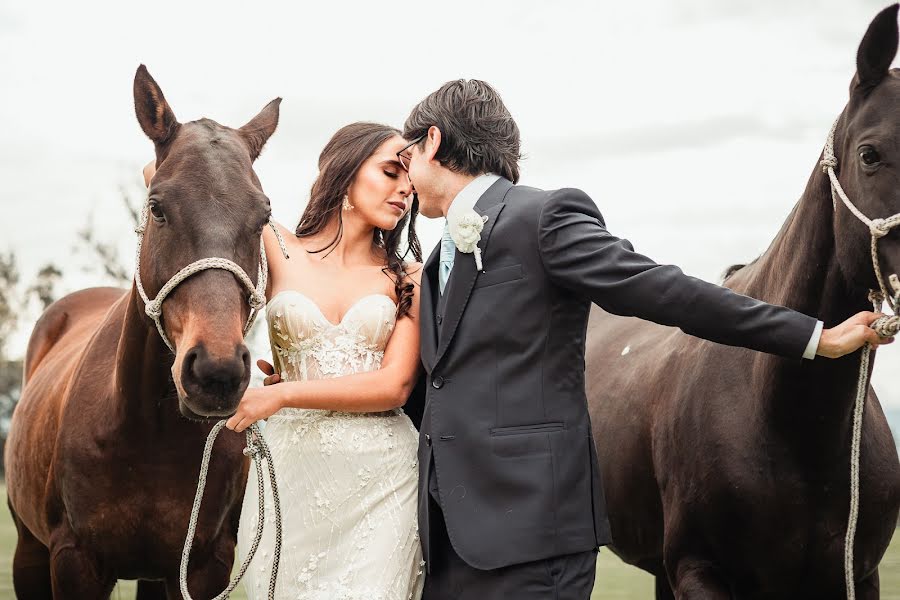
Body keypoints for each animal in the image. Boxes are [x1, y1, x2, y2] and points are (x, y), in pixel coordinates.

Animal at [4, 63, 282, 596]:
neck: (149, 437)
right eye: (157, 207)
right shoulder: (73, 560)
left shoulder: (201, 566)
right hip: (28, 552)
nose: (215, 371)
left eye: (263, 216)